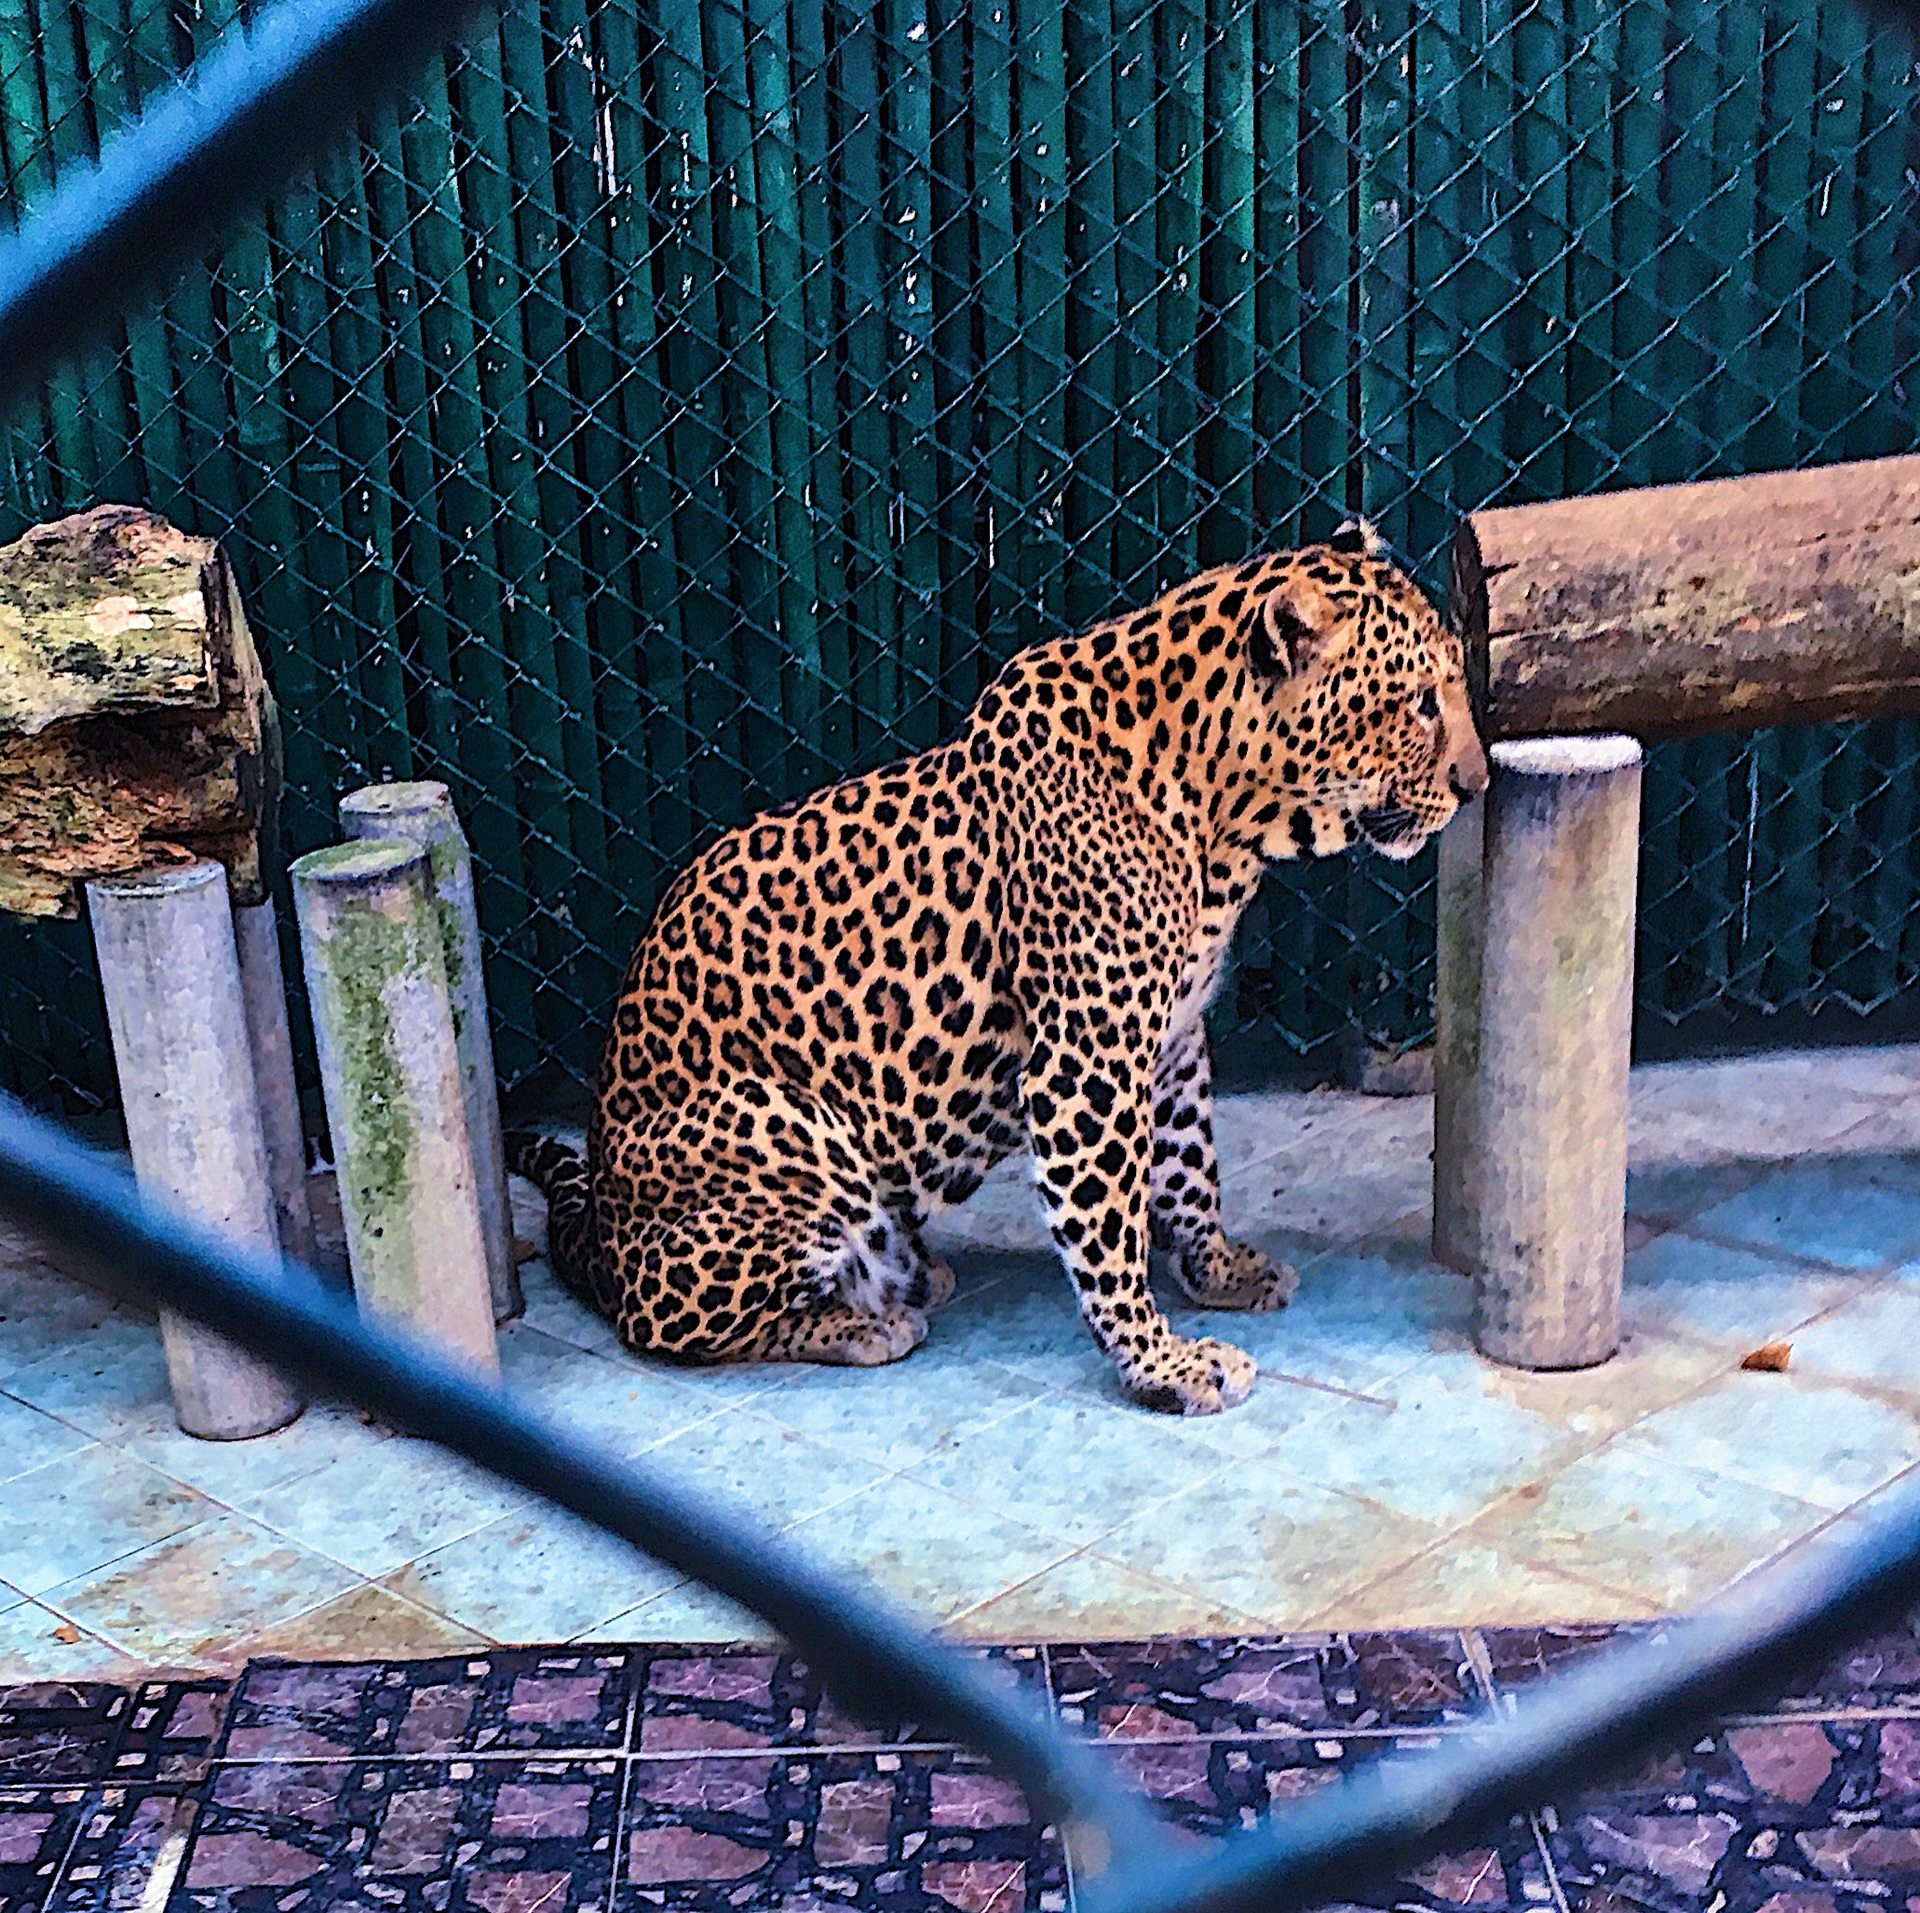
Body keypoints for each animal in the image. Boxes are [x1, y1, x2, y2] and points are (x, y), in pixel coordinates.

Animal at [510, 514, 1482, 1413]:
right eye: (1420, 702)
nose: (1474, 784)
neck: (1228, 821)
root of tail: (602, 1233)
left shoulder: (1171, 1039)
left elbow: (1188, 1163)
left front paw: (1216, 1268)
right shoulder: (1086, 1062)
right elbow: (1109, 1227)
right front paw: (1161, 1360)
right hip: (788, 1128)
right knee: (663, 1323)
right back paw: (862, 1322)